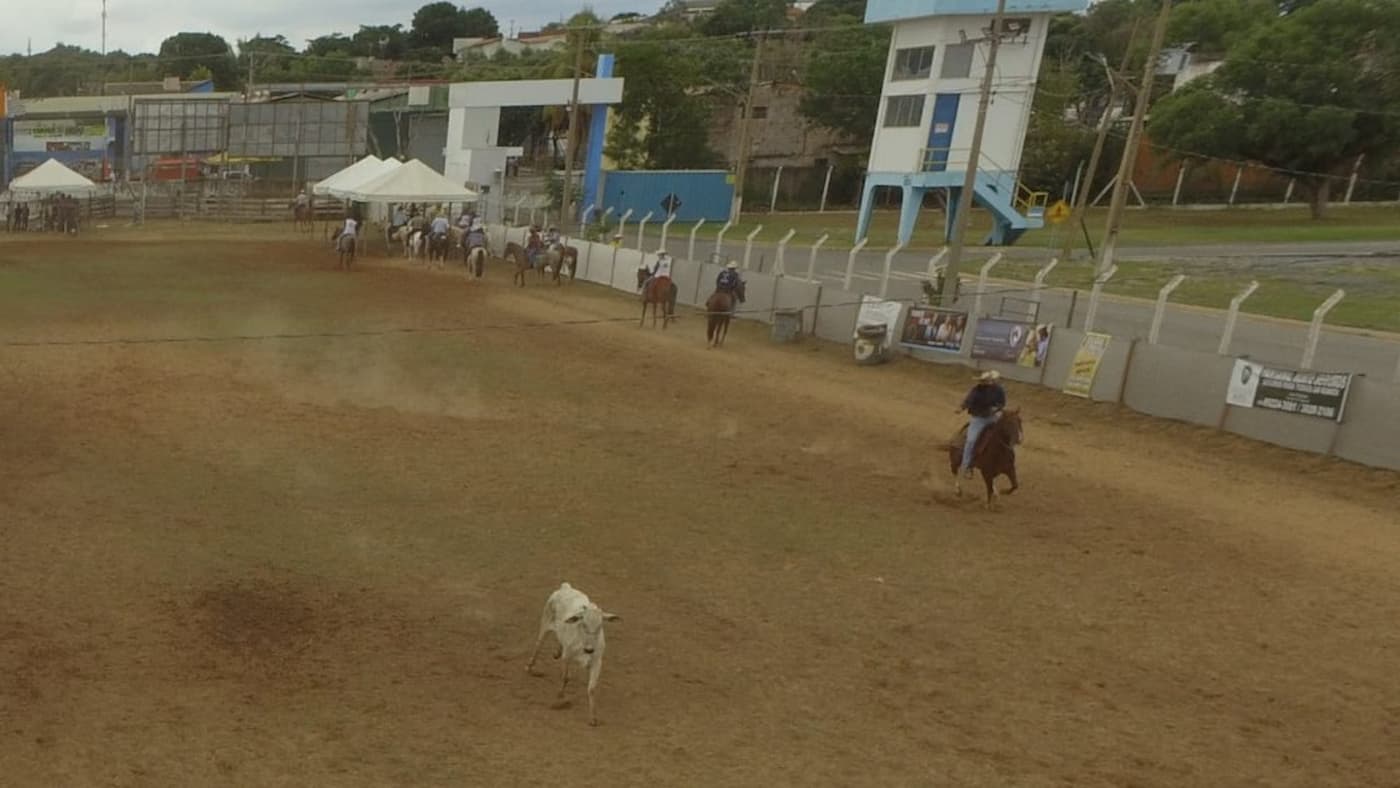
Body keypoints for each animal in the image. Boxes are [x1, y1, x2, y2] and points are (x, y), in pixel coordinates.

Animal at [526, 579, 621, 727]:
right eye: (583, 624)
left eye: (600, 626)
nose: (589, 649)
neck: (583, 643)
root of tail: (565, 587)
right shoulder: (567, 657)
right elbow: (566, 677)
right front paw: (560, 695)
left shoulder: (597, 662)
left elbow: (591, 688)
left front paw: (593, 718)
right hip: (545, 624)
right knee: (538, 645)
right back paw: (530, 666)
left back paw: (556, 652)